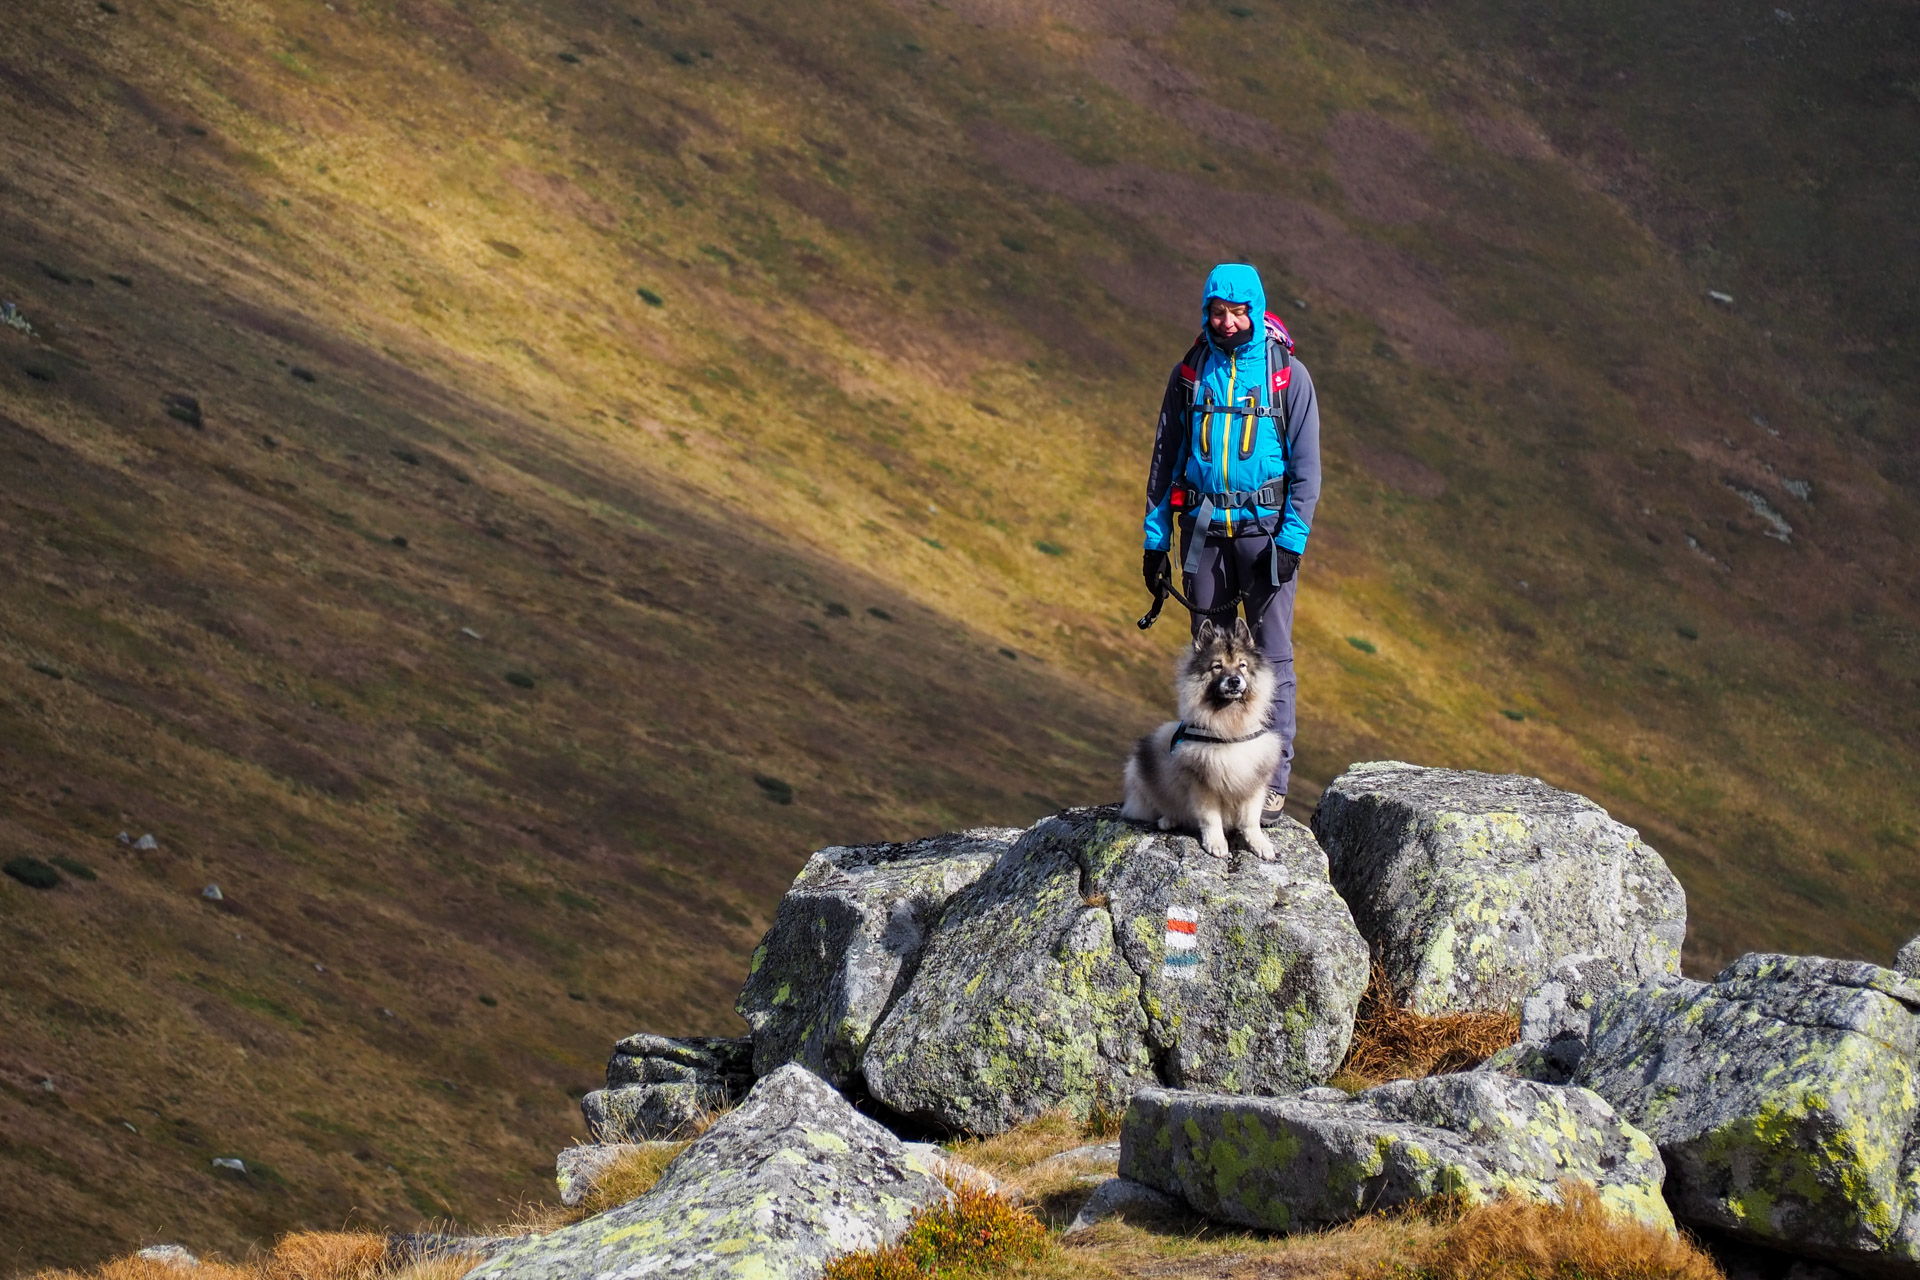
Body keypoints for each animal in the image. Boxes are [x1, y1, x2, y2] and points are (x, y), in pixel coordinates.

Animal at [1121, 617, 1282, 859]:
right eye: (1217, 666)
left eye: (1242, 665)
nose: (1234, 681)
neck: (1229, 726)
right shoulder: (1202, 781)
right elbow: (1210, 818)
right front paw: (1216, 843)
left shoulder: (1254, 780)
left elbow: (1251, 820)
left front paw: (1259, 844)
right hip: (1144, 762)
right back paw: (1168, 819)